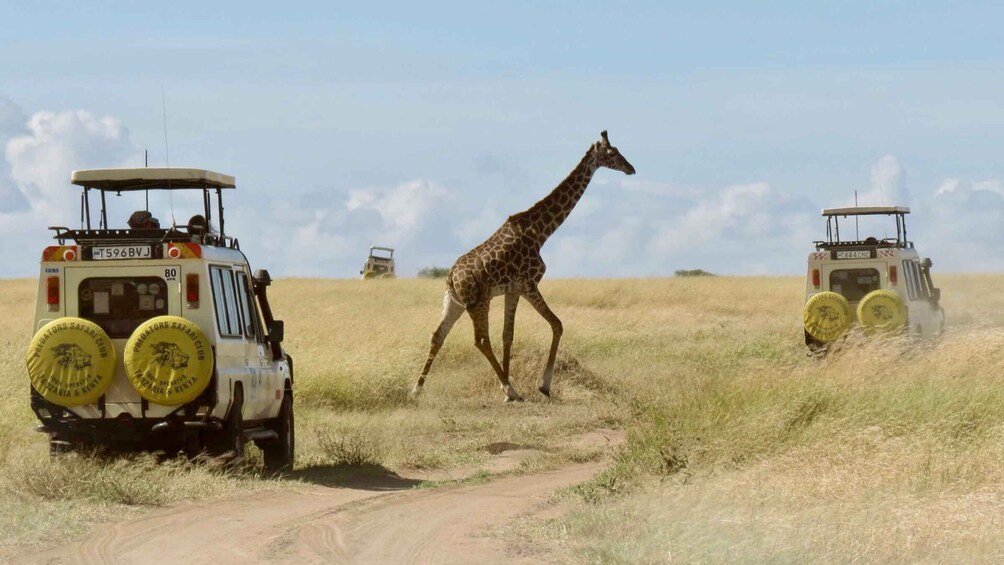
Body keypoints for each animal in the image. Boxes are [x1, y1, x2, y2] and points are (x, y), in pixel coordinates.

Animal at [409, 129, 634, 401]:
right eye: (612, 153)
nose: (631, 168)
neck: (541, 232)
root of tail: (451, 276)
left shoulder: (513, 289)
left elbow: (508, 335)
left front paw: (507, 388)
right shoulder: (529, 284)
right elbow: (557, 325)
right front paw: (541, 386)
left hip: (454, 301)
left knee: (438, 335)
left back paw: (417, 389)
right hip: (479, 302)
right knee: (480, 340)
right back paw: (512, 389)